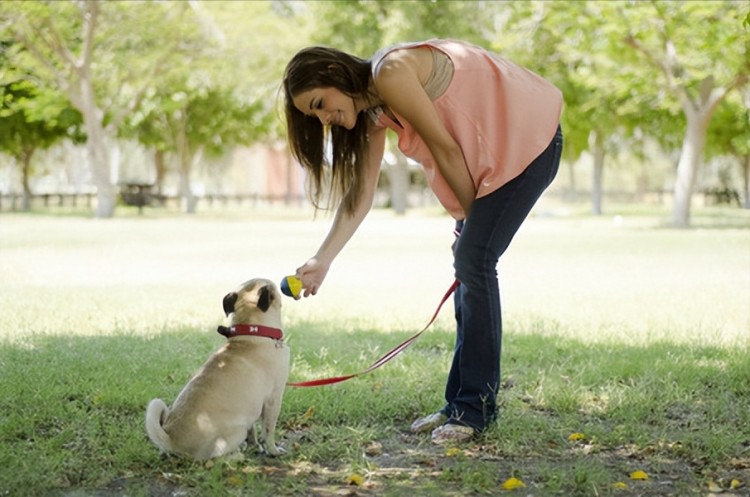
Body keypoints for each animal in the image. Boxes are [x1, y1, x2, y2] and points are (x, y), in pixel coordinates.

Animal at [146, 278, 290, 460]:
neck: (252, 333)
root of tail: (172, 440)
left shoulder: (251, 408)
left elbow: (254, 432)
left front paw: (255, 446)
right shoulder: (273, 399)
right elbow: (268, 431)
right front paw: (273, 450)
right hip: (238, 430)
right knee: (216, 458)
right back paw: (237, 456)